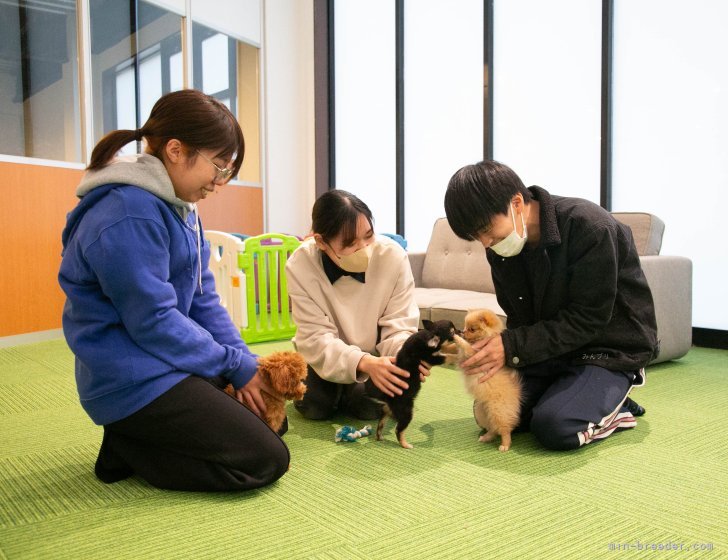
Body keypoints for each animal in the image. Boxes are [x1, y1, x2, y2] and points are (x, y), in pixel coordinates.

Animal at [456, 308, 524, 452]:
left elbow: (466, 346)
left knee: (505, 430)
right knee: (493, 429)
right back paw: (486, 437)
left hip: (498, 412)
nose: (461, 331)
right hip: (482, 413)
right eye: (465, 327)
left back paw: (505, 445)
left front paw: (455, 337)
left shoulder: (474, 354)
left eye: (472, 329)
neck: (486, 338)